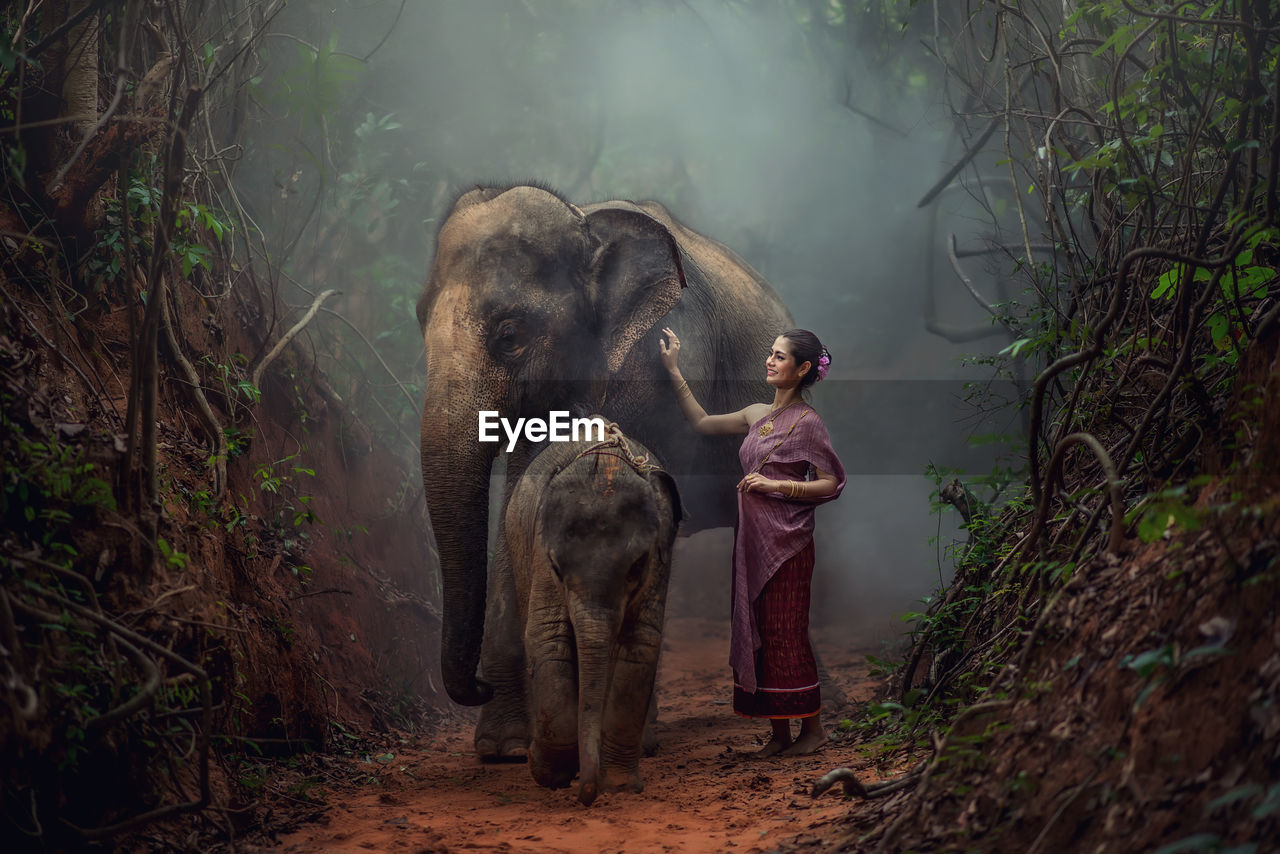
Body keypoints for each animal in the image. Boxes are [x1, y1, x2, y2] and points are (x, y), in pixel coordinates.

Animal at [414, 181, 788, 752]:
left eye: (509, 334)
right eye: (417, 318)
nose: (475, 686)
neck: (584, 222)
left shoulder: (657, 359)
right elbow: (525, 496)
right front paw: (504, 748)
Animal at [501, 425, 686, 804]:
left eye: (636, 566)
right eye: (557, 568)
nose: (588, 794)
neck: (606, 470)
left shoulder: (660, 557)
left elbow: (641, 642)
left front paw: (619, 786)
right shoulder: (540, 554)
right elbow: (547, 635)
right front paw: (550, 775)